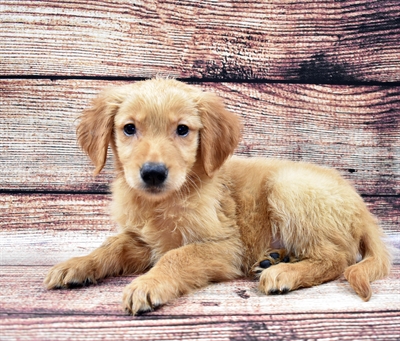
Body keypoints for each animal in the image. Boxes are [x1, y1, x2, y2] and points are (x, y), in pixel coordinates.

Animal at [43, 77, 390, 314]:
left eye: (182, 130)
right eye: (129, 128)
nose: (153, 173)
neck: (165, 201)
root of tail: (362, 207)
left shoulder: (224, 246)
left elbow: (177, 256)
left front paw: (147, 284)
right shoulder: (143, 241)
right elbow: (112, 245)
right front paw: (77, 265)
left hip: (287, 185)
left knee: (338, 258)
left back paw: (284, 272)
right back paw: (274, 258)